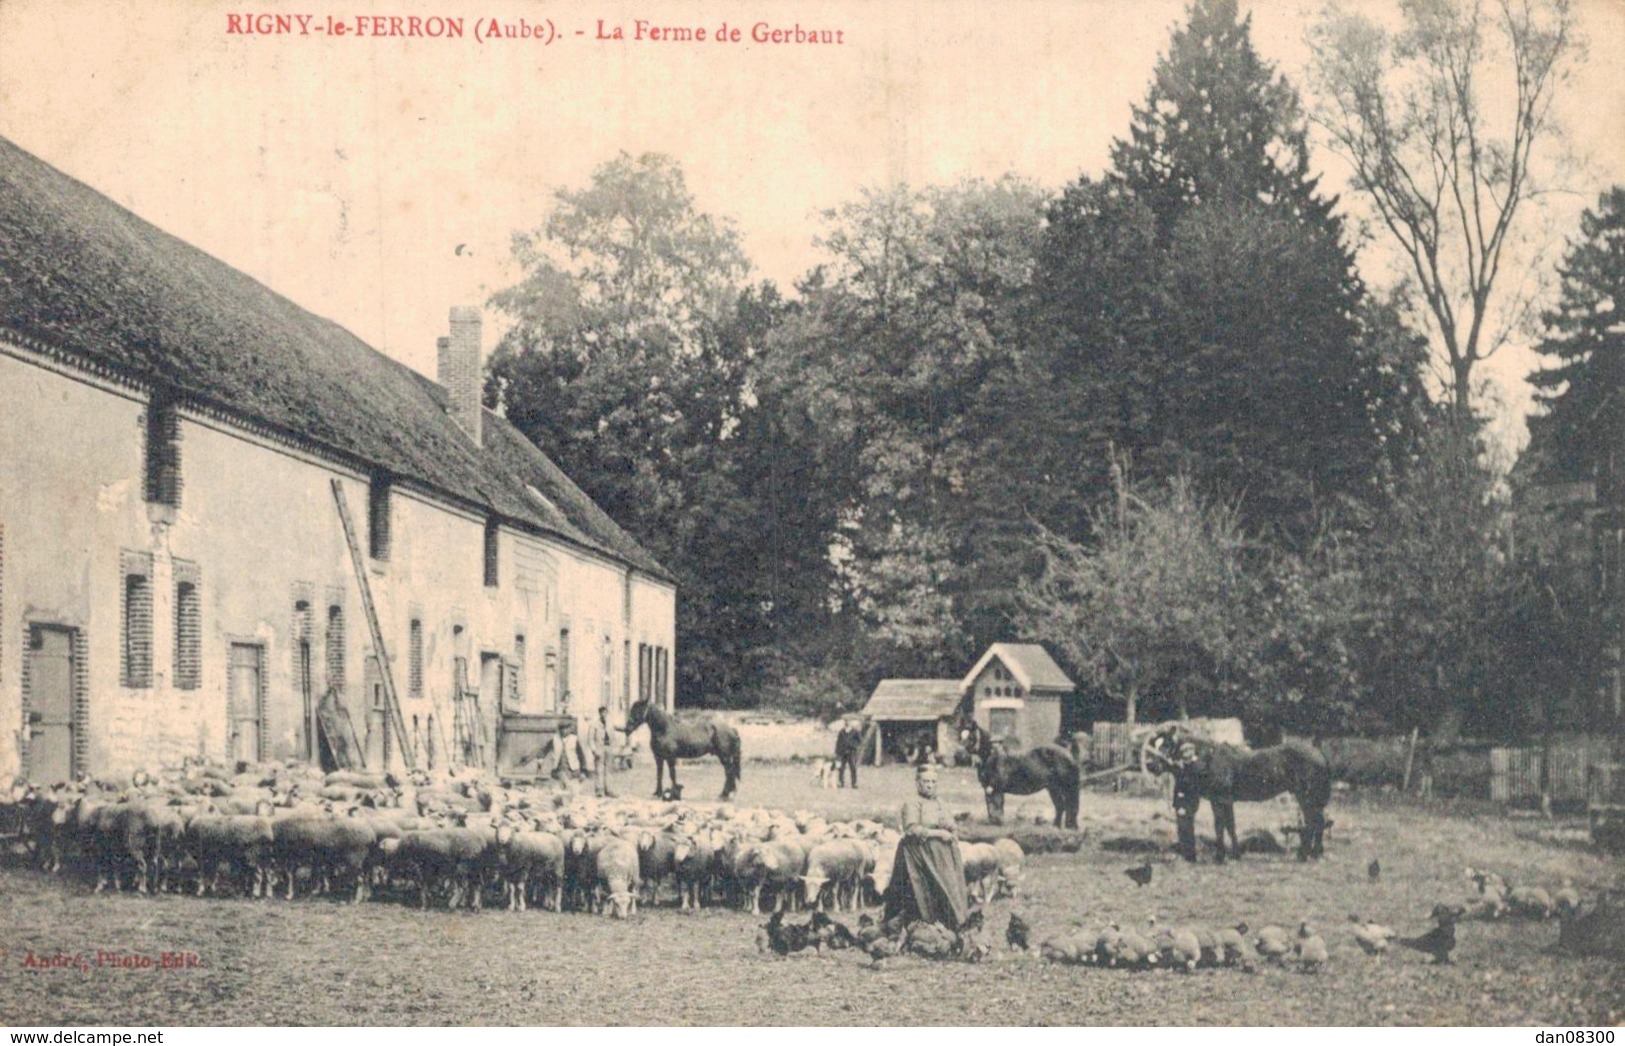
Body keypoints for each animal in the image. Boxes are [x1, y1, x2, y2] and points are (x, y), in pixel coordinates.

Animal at [949, 714, 1079, 828]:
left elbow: (998, 807)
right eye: (960, 736)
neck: (991, 757)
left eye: (971, 737)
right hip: (1053, 788)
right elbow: (990, 807)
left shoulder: (997, 788)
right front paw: (992, 822)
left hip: (1063, 787)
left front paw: (999, 823)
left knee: (1067, 806)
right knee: (1061, 806)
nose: (958, 755)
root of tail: (1069, 754)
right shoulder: (987, 788)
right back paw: (1056, 827)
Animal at [1144, 724, 1332, 864]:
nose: (1151, 765)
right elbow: (1226, 826)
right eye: (1154, 744)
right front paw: (1233, 854)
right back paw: (1312, 854)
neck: (1208, 759)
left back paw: (1307, 854)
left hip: (1306, 796)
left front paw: (1222, 856)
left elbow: (1223, 825)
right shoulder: (1222, 800)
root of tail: (1319, 753)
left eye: (1166, 745)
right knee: (1316, 822)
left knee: (1314, 822)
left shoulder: (1221, 799)